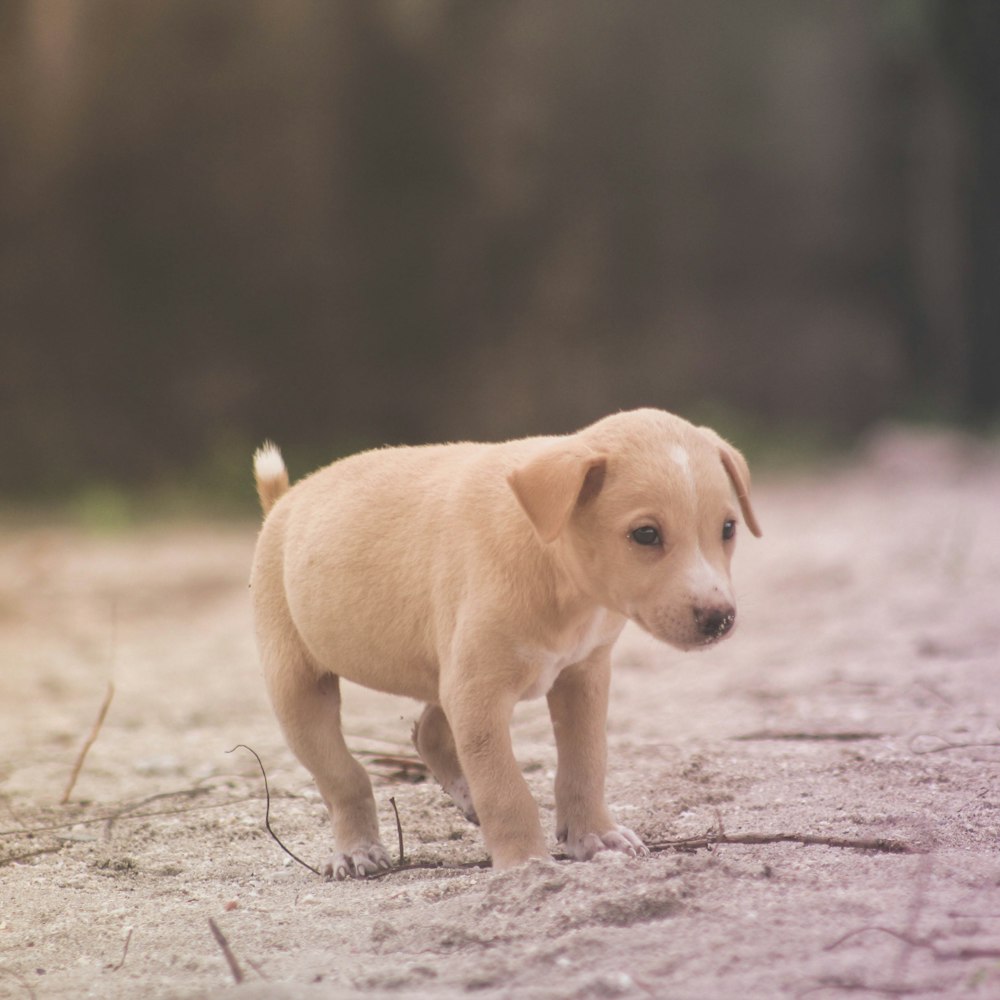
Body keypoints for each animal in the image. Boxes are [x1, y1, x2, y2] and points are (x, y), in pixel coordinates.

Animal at [250, 406, 756, 876]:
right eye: (646, 534)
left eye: (728, 529)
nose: (719, 619)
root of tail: (285, 501)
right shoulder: (479, 692)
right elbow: (505, 787)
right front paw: (526, 863)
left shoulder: (582, 676)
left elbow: (586, 762)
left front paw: (596, 835)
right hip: (297, 686)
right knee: (344, 777)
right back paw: (356, 850)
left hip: (444, 670)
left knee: (429, 732)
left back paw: (463, 796)